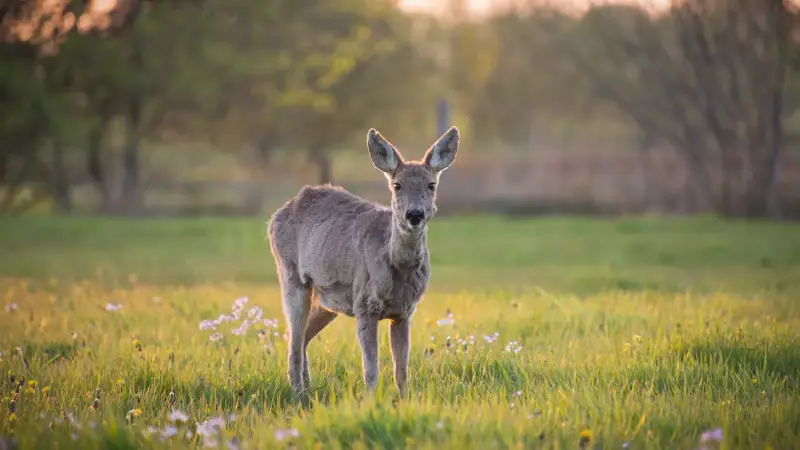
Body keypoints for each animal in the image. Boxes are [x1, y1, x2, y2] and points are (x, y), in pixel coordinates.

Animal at [267, 126, 460, 397]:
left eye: (431, 185)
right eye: (397, 185)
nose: (414, 214)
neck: (396, 267)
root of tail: (276, 216)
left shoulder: (405, 311)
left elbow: (402, 371)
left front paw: (405, 400)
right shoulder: (364, 304)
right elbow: (371, 370)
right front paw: (370, 401)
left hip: (327, 298)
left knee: (301, 336)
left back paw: (309, 388)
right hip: (290, 273)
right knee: (293, 340)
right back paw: (299, 395)